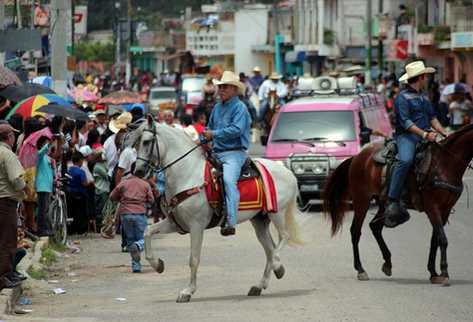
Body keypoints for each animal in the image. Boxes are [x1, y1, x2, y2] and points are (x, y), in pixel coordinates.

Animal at [133, 117, 302, 304]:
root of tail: (288, 172)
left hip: (276, 213)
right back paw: (262, 283)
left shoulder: (196, 226)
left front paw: (187, 291)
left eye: (146, 142)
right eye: (136, 143)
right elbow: (147, 231)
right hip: (259, 220)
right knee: (270, 248)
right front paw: (158, 265)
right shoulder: (175, 223)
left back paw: (277, 265)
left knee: (284, 237)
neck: (188, 174)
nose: (138, 171)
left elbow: (194, 259)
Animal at [322, 124, 472, 286]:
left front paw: (433, 273)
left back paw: (387, 262)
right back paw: (361, 269)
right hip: (361, 200)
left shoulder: (445, 210)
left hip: (383, 203)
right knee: (356, 231)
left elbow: (435, 240)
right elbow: (442, 239)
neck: (445, 165)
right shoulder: (432, 208)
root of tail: (357, 157)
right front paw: (444, 273)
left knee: (375, 227)